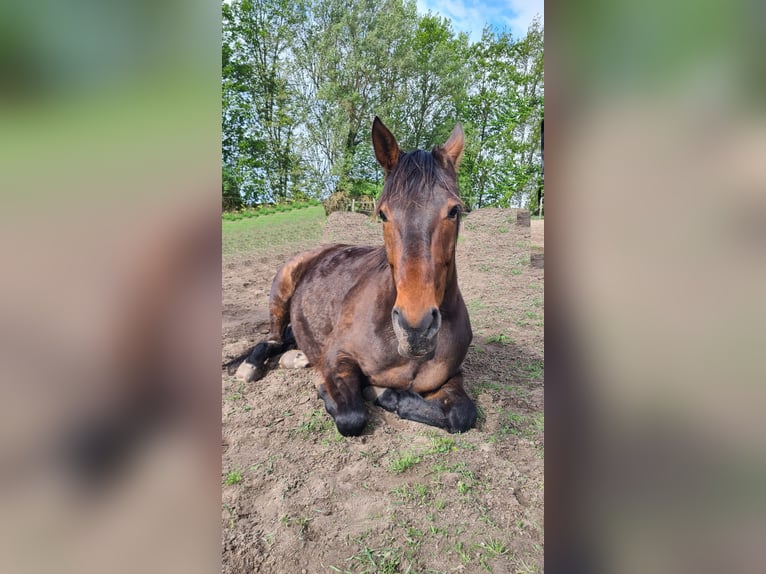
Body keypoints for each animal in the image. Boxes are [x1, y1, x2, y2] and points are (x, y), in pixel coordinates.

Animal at [234, 116, 477, 436]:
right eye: (383, 214)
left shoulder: (452, 376)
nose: (416, 329)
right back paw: (251, 367)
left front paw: (388, 395)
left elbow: (462, 414)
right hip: (280, 294)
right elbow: (352, 416)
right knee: (272, 339)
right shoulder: (338, 357)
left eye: (454, 210)